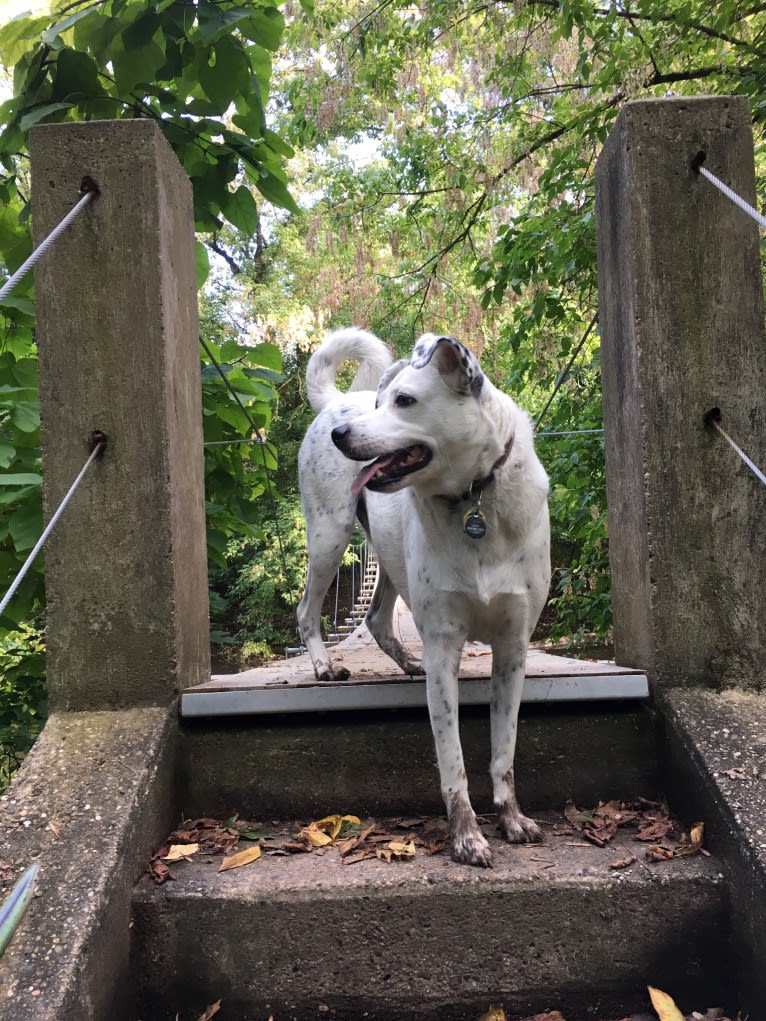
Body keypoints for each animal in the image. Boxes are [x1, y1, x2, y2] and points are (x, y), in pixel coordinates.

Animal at [296, 328, 551, 869]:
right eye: (382, 402)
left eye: (405, 401)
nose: (342, 435)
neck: (475, 503)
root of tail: (336, 402)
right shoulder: (443, 649)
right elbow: (453, 763)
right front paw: (467, 837)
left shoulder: (513, 651)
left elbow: (503, 751)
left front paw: (512, 818)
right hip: (329, 535)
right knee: (306, 609)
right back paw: (324, 665)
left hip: (387, 561)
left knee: (376, 618)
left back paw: (404, 662)